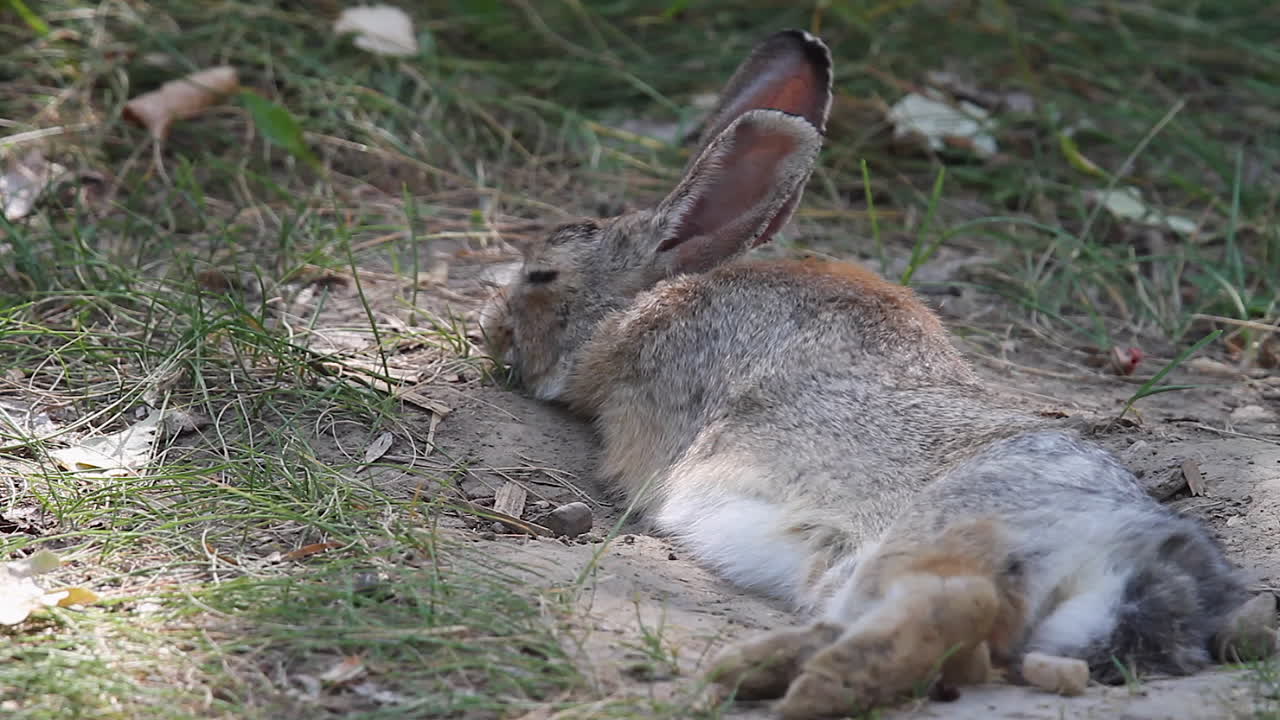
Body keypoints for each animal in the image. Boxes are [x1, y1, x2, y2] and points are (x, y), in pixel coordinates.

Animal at [480, 29, 1278, 719]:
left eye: (543, 276)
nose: (493, 332)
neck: (651, 301)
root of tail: (1160, 573)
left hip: (932, 537)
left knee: (952, 608)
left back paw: (788, 683)